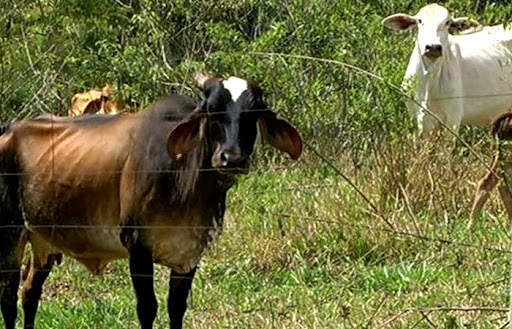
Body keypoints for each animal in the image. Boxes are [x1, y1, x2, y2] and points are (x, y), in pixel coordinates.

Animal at [0, 73, 302, 326]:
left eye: (254, 113)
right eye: (211, 109)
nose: (232, 158)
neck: (185, 179)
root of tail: (8, 129)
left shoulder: (189, 252)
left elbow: (176, 307)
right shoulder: (137, 246)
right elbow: (148, 308)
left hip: (42, 240)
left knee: (30, 292)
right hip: (11, 235)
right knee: (8, 299)